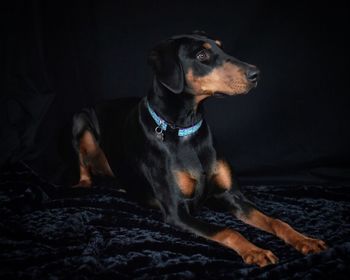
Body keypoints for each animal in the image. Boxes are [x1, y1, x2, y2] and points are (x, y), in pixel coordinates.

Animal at [72, 31, 328, 266]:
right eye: (202, 55)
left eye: (222, 48)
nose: (256, 73)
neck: (185, 129)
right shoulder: (177, 212)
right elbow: (228, 230)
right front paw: (256, 251)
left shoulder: (232, 196)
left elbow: (275, 220)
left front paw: (304, 240)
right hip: (80, 120)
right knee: (82, 161)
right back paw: (84, 183)